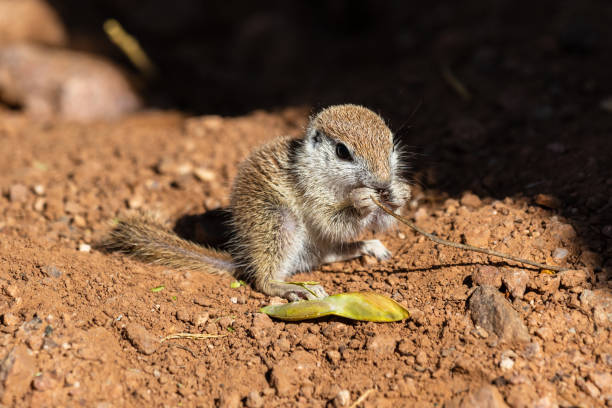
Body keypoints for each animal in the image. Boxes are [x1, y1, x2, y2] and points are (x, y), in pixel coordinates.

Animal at [105, 103, 412, 302]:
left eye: (391, 145)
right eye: (342, 151)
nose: (383, 182)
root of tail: (244, 259)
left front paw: (400, 192)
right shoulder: (310, 192)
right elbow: (332, 220)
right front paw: (363, 199)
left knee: (331, 253)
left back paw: (367, 246)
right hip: (279, 223)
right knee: (264, 280)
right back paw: (292, 288)